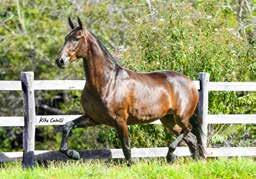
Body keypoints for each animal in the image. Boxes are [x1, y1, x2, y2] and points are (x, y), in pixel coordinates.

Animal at [55, 17, 205, 164]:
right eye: (66, 38)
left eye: (77, 38)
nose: (60, 61)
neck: (107, 82)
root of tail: (191, 83)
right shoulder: (93, 118)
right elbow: (67, 126)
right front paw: (73, 154)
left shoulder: (120, 121)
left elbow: (126, 148)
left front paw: (131, 165)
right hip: (168, 119)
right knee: (191, 138)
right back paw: (192, 161)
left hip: (181, 117)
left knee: (188, 130)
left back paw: (170, 155)